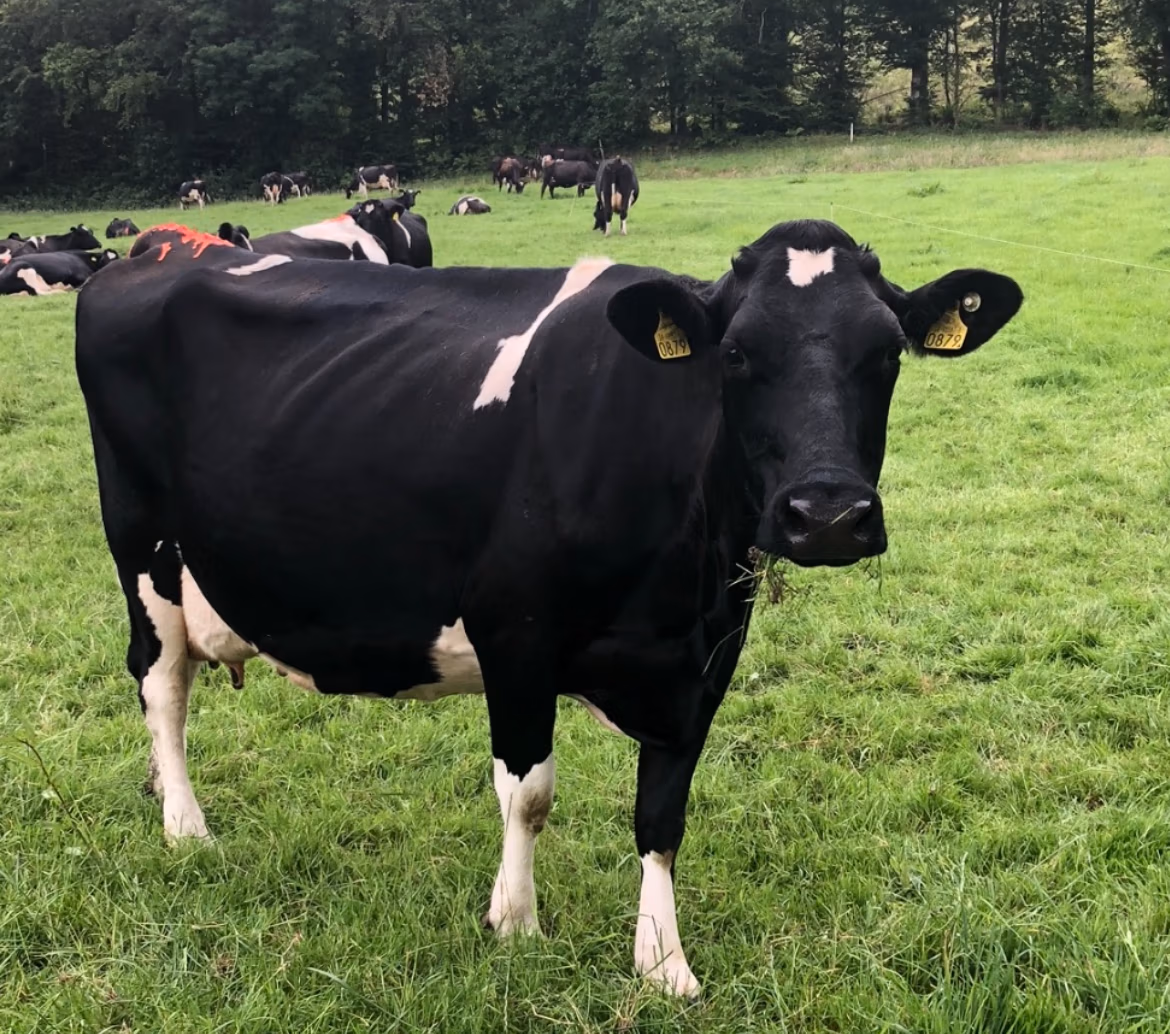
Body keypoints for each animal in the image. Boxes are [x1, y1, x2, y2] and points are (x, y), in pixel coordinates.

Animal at [75, 217, 1023, 998]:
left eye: (888, 354)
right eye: (736, 355)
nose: (825, 513)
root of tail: (162, 250)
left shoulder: (706, 656)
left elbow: (663, 815)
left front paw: (662, 962)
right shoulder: (515, 634)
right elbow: (527, 793)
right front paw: (517, 923)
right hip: (143, 548)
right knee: (161, 682)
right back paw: (185, 826)